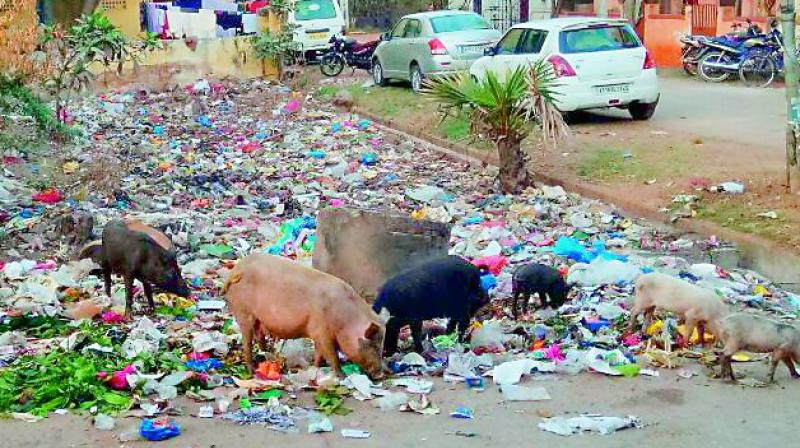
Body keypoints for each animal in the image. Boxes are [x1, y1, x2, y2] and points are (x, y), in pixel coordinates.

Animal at [225, 256, 388, 378]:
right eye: (374, 345)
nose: (381, 374)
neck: (345, 320)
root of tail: (236, 269)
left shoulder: (318, 335)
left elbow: (319, 353)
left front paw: (316, 367)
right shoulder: (322, 331)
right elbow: (332, 354)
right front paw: (341, 376)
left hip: (258, 319)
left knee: (259, 335)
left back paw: (266, 355)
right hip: (243, 312)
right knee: (247, 341)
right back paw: (252, 370)